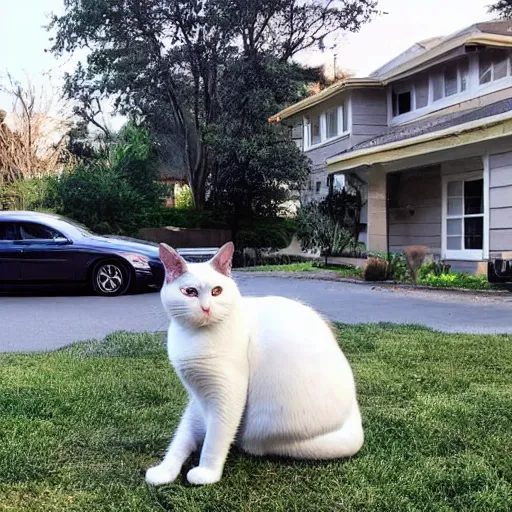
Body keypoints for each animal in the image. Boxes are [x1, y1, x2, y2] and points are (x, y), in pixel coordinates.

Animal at [145, 242, 364, 486]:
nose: (206, 308)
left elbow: (215, 439)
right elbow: (182, 436)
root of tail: (353, 415)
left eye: (217, 291)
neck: (193, 339)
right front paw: (165, 470)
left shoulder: (225, 393)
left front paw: (207, 473)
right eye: (189, 292)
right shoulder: (198, 398)